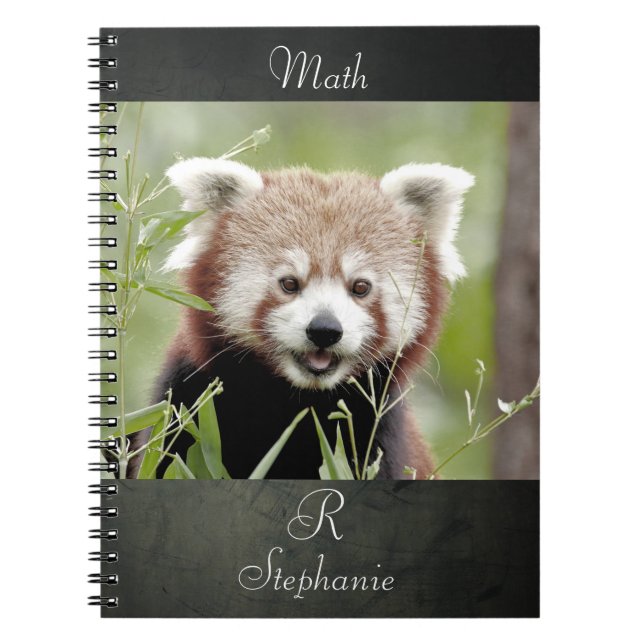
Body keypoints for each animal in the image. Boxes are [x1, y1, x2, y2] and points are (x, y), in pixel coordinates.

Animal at [127, 159, 474, 479]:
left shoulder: (376, 434)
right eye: (289, 284)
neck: (297, 402)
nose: (324, 330)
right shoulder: (189, 407)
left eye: (360, 287)